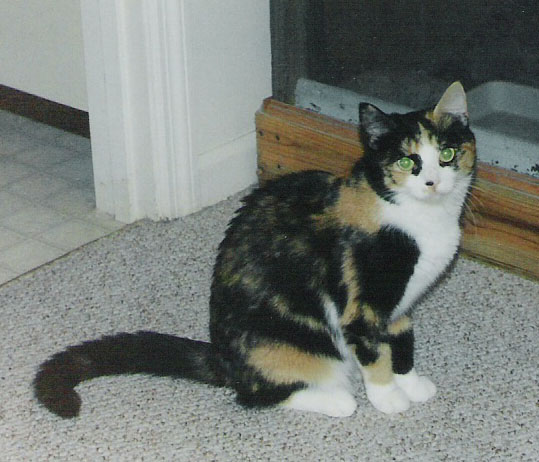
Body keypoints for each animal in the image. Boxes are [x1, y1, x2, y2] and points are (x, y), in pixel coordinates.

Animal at [34, 82, 476, 418]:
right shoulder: (363, 304)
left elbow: (401, 342)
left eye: (447, 154)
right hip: (292, 346)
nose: (433, 182)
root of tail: (222, 358)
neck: (420, 220)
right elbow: (373, 351)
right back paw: (338, 400)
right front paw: (388, 398)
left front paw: (411, 384)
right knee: (256, 396)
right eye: (406, 161)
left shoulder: (401, 304)